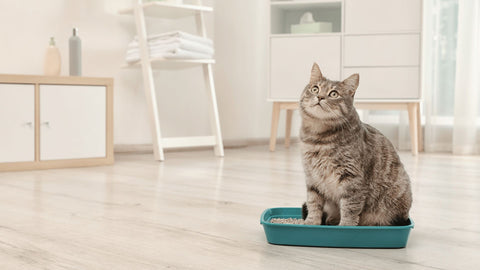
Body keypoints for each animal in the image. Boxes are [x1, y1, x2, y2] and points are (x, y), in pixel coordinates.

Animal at [300, 63, 412, 226]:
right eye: (315, 88)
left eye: (334, 94)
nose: (320, 97)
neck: (318, 137)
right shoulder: (312, 177)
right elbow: (313, 202)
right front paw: (311, 222)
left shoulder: (352, 178)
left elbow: (350, 208)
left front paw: (345, 226)